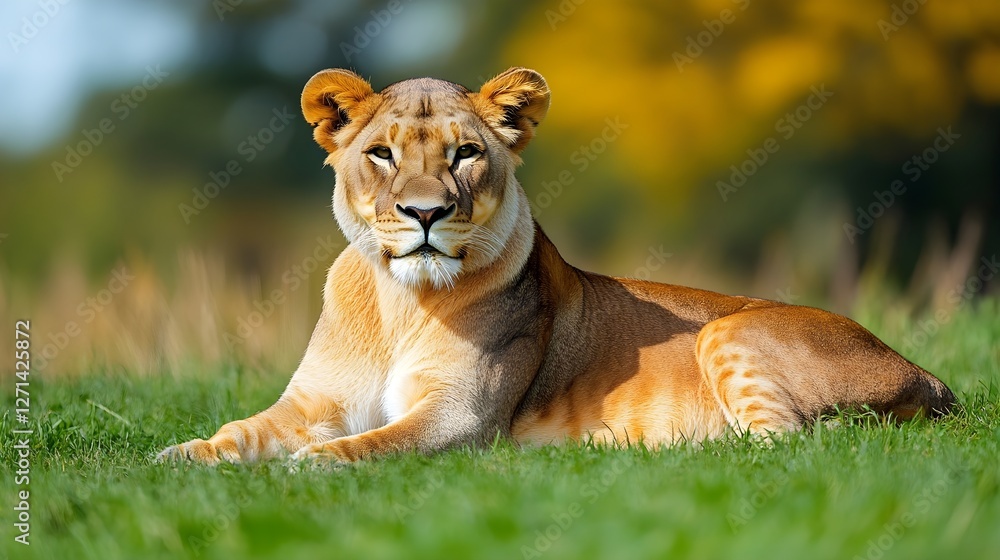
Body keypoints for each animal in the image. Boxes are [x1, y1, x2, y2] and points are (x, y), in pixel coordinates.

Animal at [157, 67, 955, 465]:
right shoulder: (310, 405)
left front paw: (308, 466)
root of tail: (929, 373)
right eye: (381, 154)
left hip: (726, 332)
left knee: (782, 446)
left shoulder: (460, 417)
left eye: (465, 154)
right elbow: (241, 432)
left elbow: (373, 443)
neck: (398, 301)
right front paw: (179, 456)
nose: (424, 213)